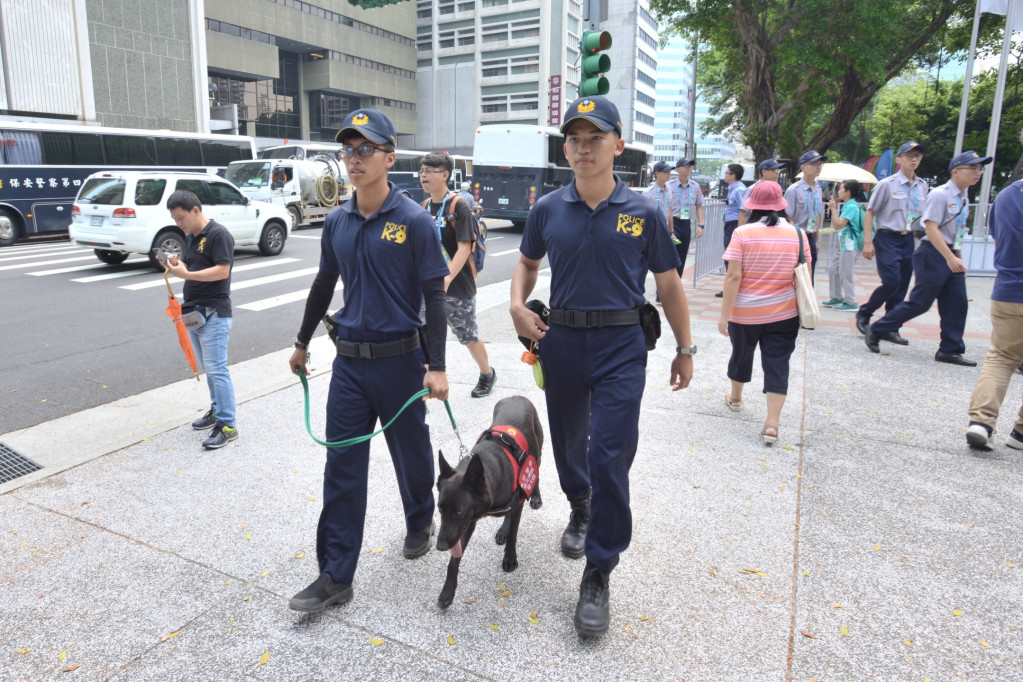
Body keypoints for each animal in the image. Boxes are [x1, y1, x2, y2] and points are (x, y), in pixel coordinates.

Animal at [433, 396, 544, 609]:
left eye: (458, 512)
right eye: (440, 510)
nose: (440, 546)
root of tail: (517, 397)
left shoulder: (515, 505)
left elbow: (513, 535)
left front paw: (510, 558)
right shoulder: (469, 522)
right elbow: (454, 560)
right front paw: (447, 591)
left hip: (536, 453)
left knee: (536, 473)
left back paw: (535, 496)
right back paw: (502, 530)